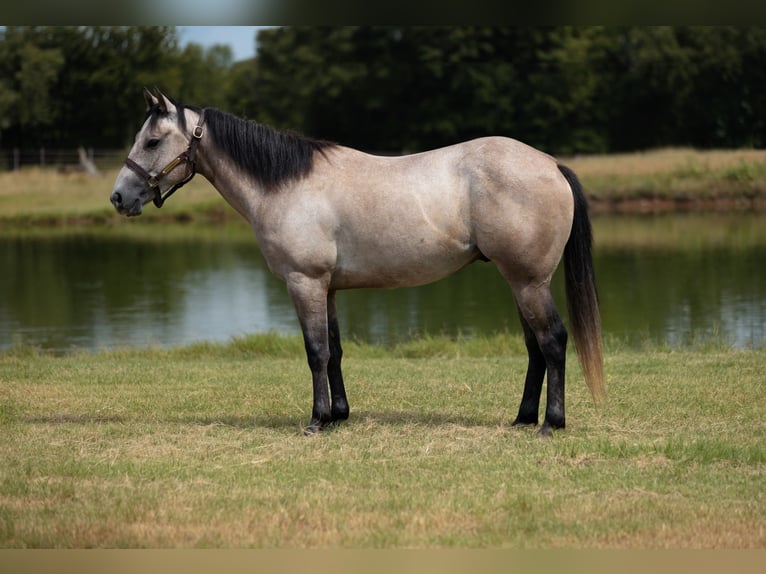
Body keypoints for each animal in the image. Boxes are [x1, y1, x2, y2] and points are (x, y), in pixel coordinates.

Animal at [111, 88, 605, 436]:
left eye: (152, 140)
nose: (118, 198)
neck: (286, 185)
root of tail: (551, 164)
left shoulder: (304, 282)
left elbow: (315, 352)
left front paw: (316, 421)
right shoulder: (326, 288)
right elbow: (334, 351)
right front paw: (338, 416)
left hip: (528, 281)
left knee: (553, 341)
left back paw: (550, 423)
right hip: (519, 281)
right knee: (535, 347)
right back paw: (522, 419)